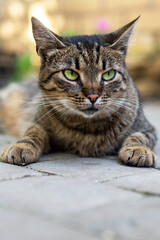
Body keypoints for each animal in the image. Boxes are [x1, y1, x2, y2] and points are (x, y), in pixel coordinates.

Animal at [0, 16, 158, 167]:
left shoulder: (148, 128)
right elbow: (33, 132)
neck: (87, 130)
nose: (93, 96)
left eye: (109, 74)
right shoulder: (38, 121)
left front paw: (139, 149)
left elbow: (139, 137)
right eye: (70, 74)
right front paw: (22, 145)